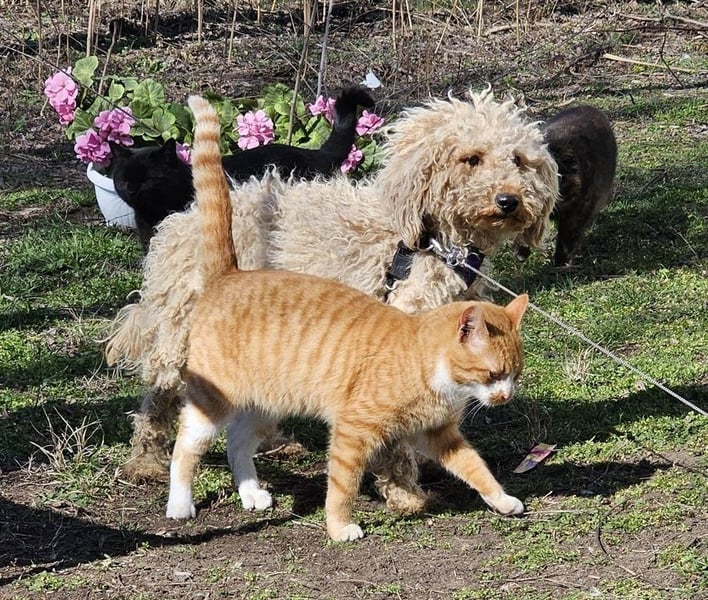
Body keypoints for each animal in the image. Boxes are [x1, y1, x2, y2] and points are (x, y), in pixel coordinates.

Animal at [515, 105, 617, 266]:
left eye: (557, 179)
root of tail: (589, 107)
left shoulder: (575, 214)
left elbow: (565, 241)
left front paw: (560, 263)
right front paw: (522, 251)